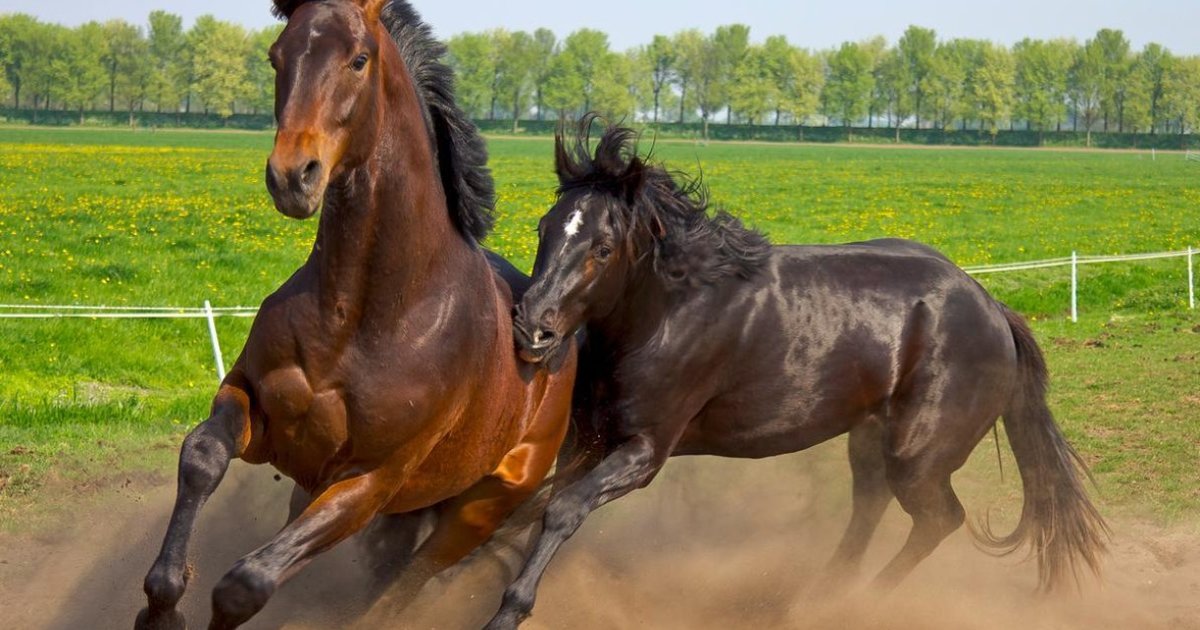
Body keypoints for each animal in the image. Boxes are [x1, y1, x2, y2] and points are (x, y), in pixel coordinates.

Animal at [136, 2, 577, 628]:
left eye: (359, 60)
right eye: (276, 54)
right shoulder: (259, 411)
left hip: (478, 509)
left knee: (403, 586)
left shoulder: (369, 482)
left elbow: (246, 583)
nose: (293, 176)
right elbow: (201, 456)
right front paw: (161, 604)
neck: (364, 315)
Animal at [486, 119, 1109, 628]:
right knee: (869, 507)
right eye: (544, 227)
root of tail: (993, 308)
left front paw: (506, 611)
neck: (665, 316)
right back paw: (813, 599)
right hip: (870, 438)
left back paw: (852, 605)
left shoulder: (643, 452)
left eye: (603, 247)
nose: (531, 329)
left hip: (918, 457)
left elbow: (561, 511)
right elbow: (529, 512)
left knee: (938, 519)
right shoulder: (586, 440)